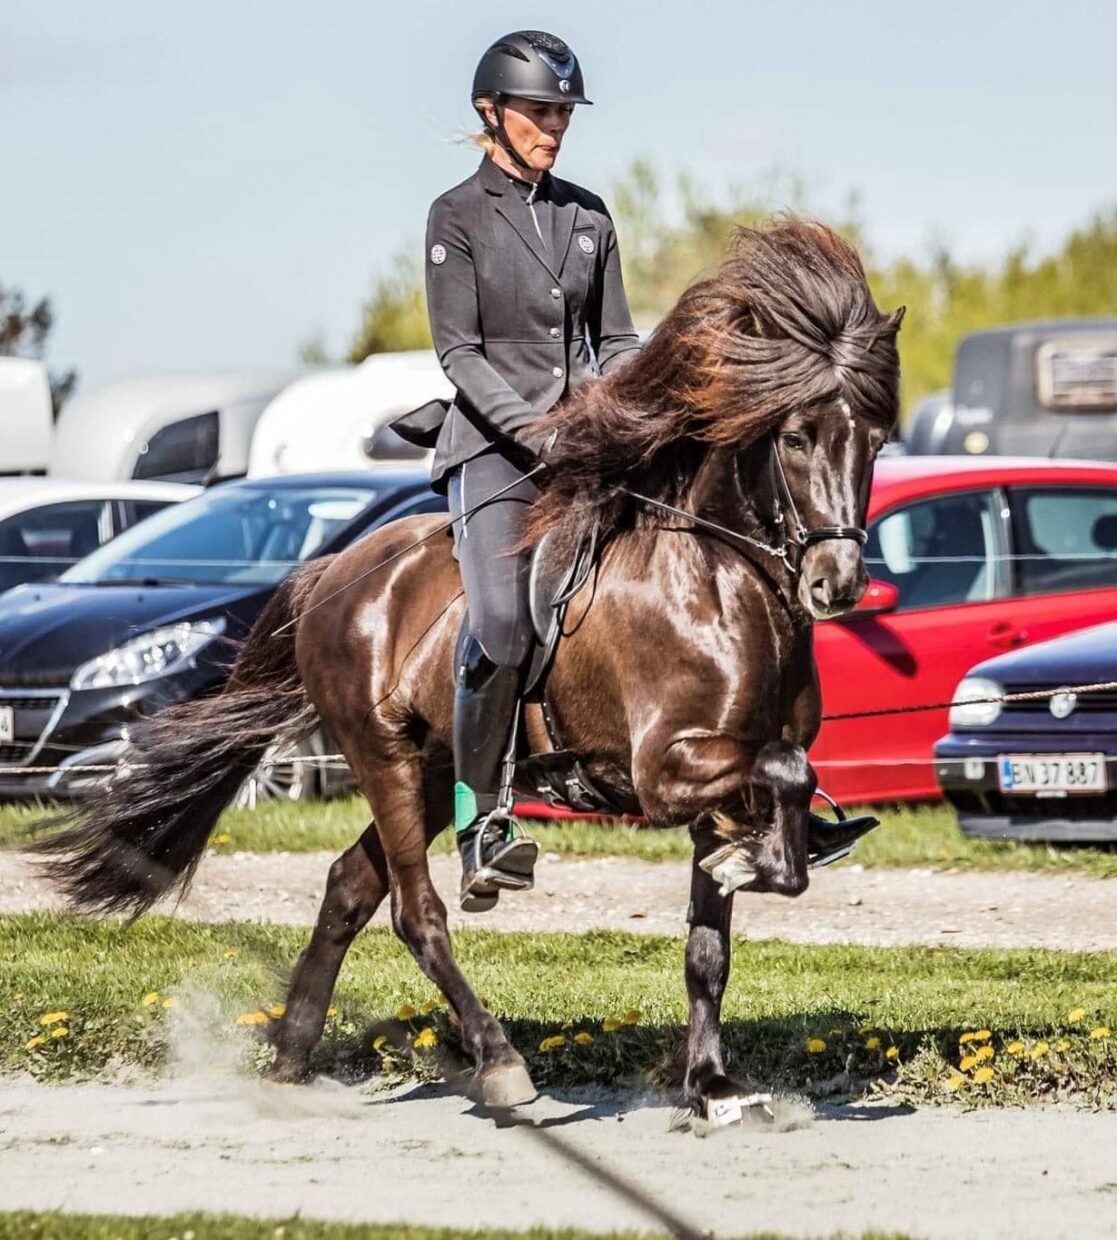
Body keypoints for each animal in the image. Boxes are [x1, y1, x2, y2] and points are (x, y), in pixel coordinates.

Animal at [39, 215, 902, 1125]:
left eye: (875, 441)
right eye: (797, 437)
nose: (836, 584)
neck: (718, 583)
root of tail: (335, 570)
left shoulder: (718, 782)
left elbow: (712, 940)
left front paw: (713, 1087)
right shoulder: (667, 768)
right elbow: (787, 770)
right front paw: (759, 867)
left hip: (434, 765)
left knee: (349, 887)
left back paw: (289, 1064)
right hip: (381, 754)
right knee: (416, 912)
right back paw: (496, 1060)